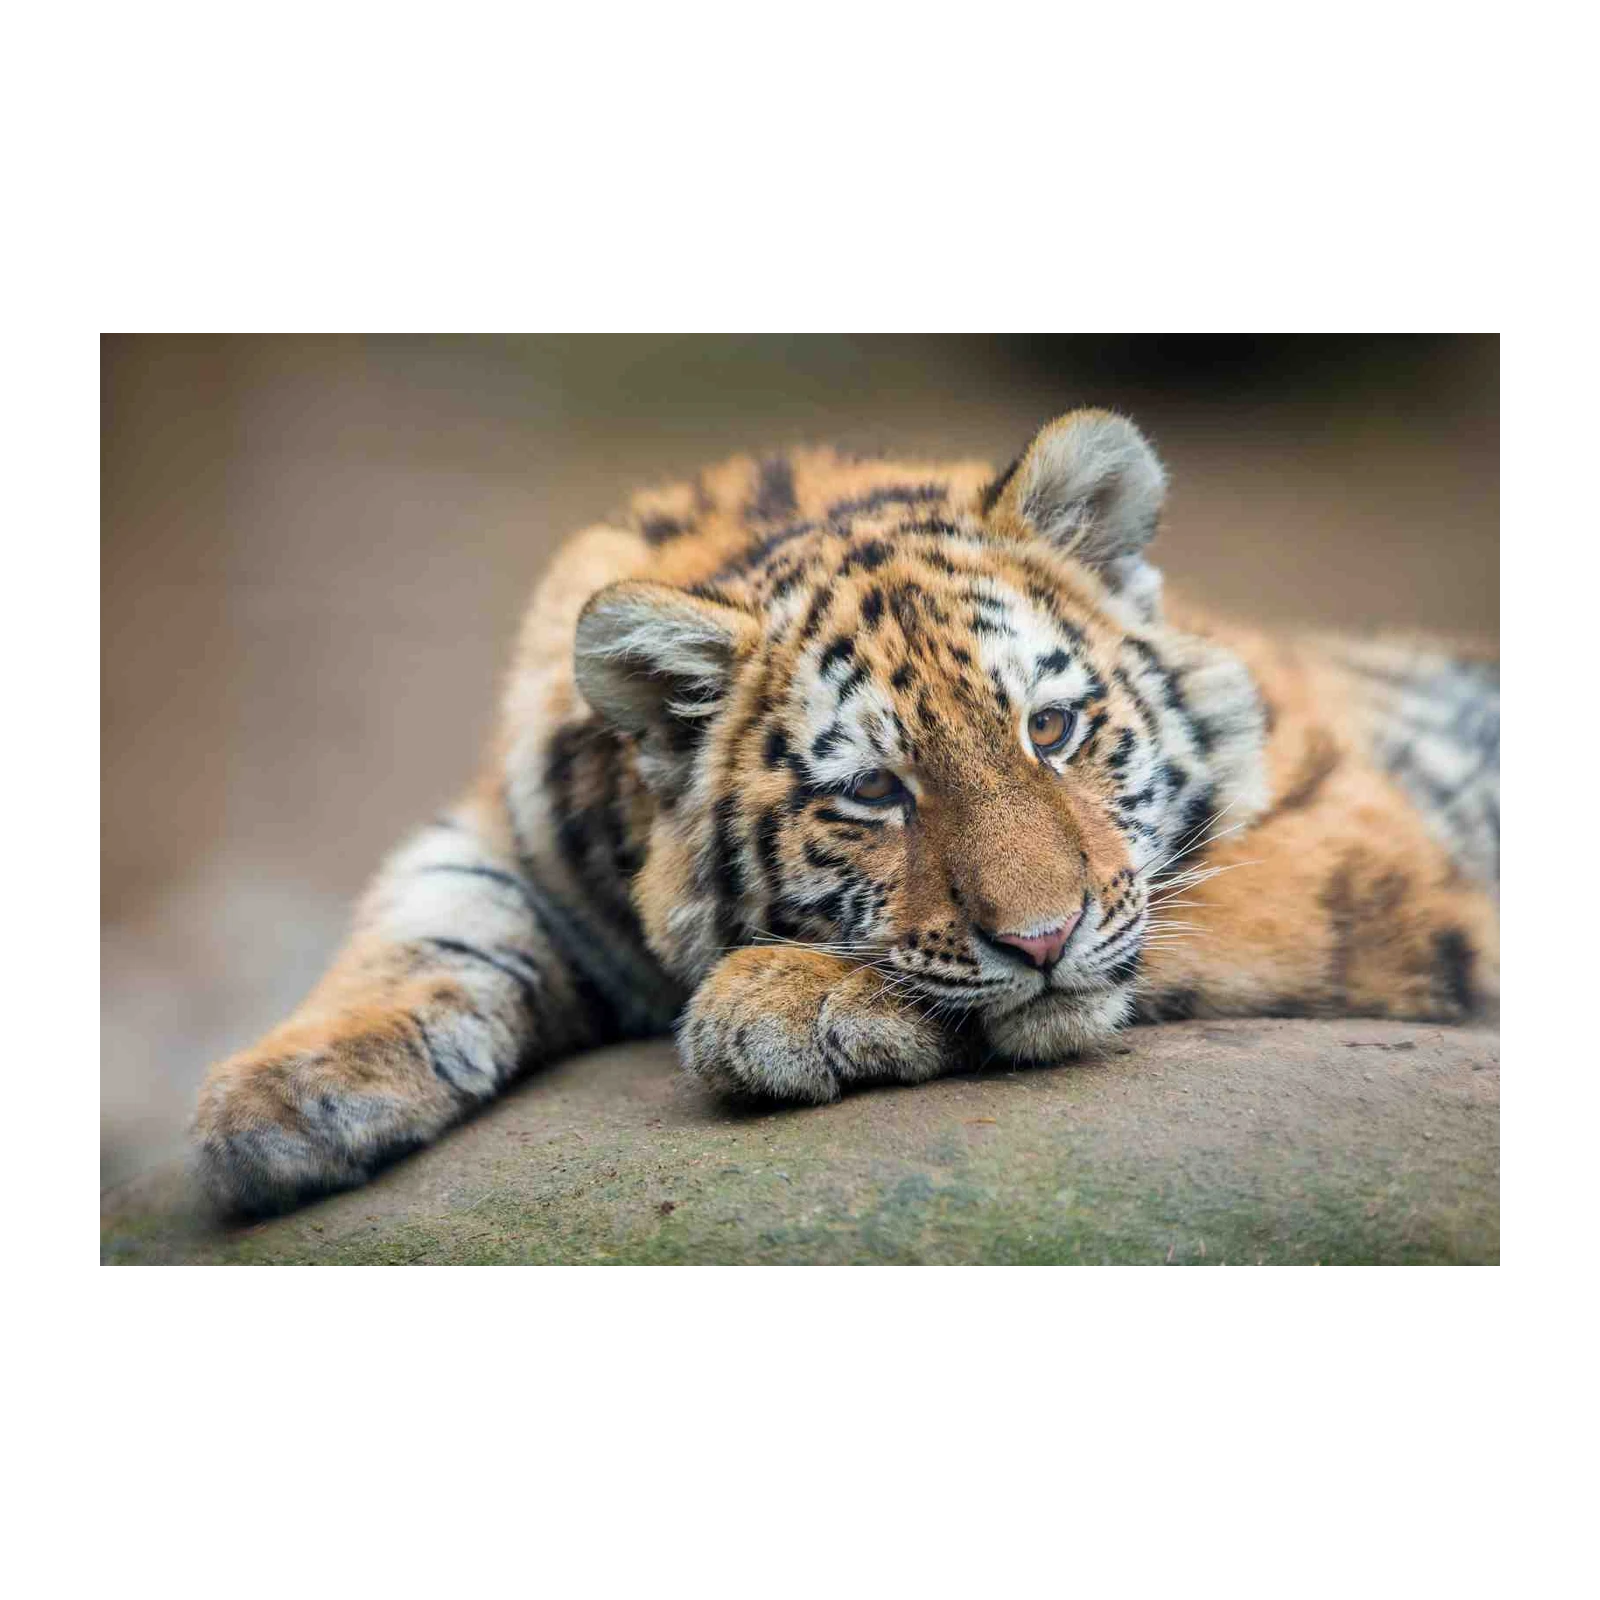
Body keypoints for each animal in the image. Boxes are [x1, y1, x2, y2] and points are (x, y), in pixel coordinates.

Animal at [191, 410, 1504, 1216]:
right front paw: (282, 1097)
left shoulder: (1356, 837)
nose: (1043, 939)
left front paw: (786, 999)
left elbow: (1167, 919)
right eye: (874, 791)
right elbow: (427, 917)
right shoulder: (508, 835)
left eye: (1051, 728)